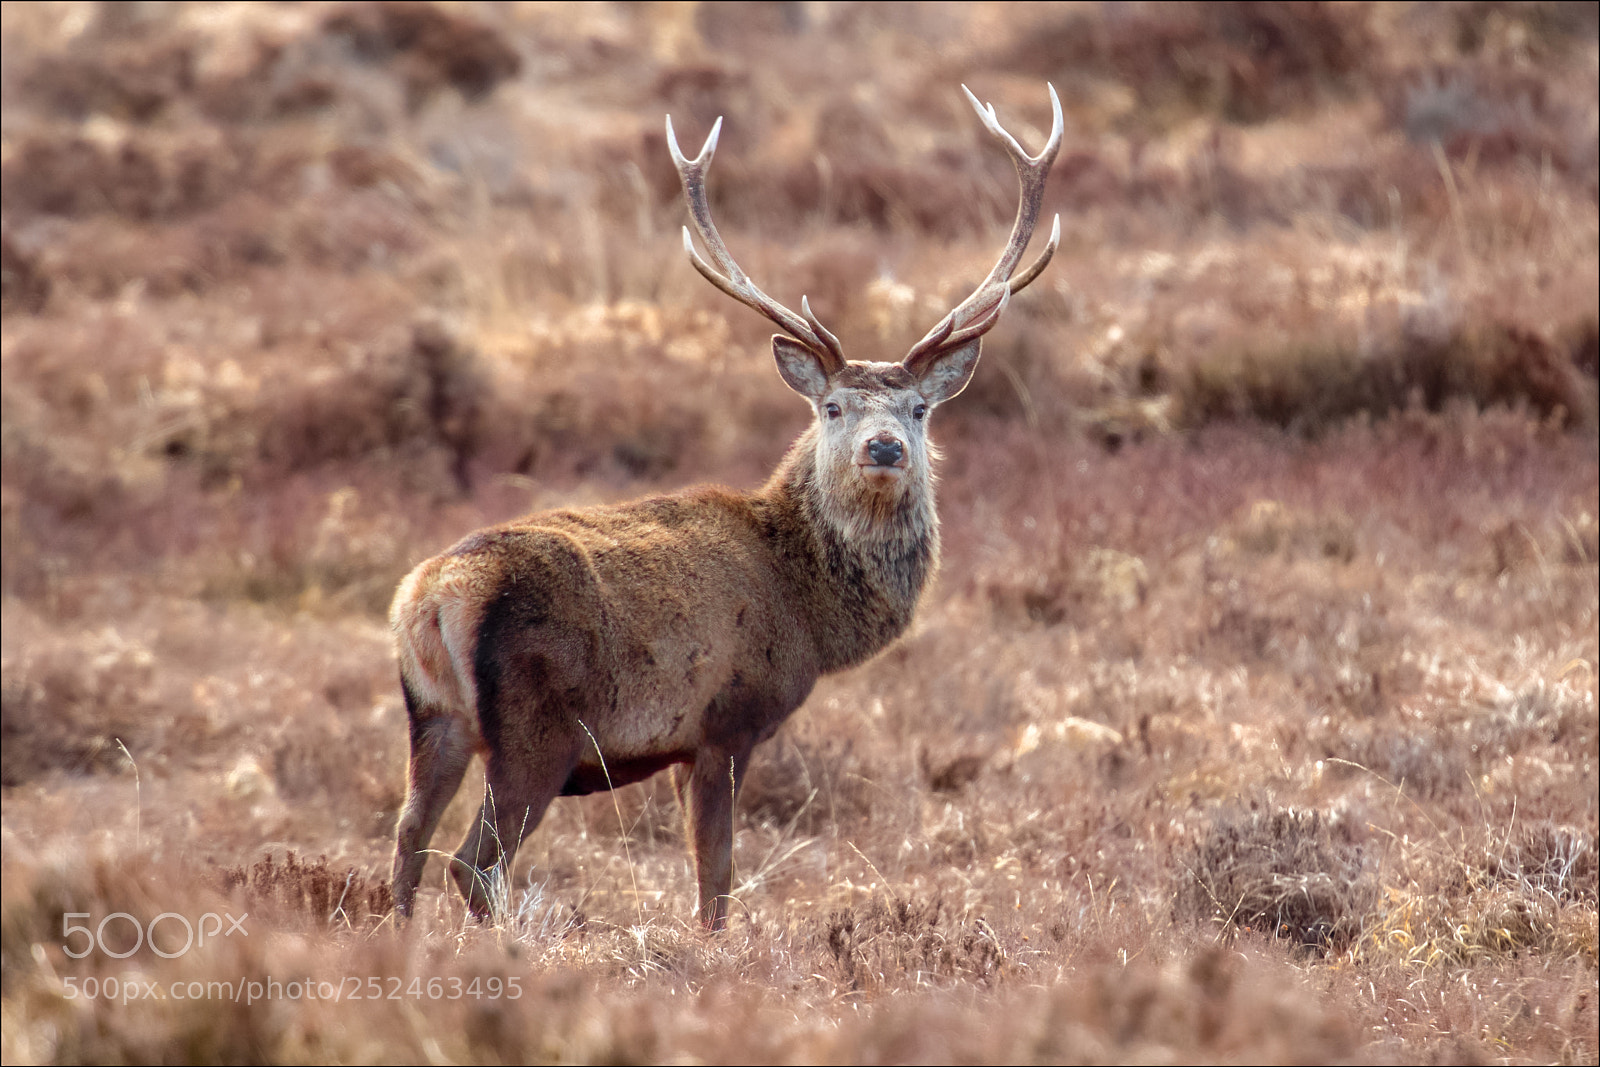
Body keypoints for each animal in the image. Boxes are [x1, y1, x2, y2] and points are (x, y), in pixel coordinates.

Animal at [389, 84, 1063, 929]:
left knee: (407, 839)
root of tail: (431, 597)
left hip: (434, 717)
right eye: (834, 407)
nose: (884, 449)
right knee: (472, 859)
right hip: (534, 726)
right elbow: (717, 876)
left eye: (918, 409)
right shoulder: (728, 719)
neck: (808, 608)